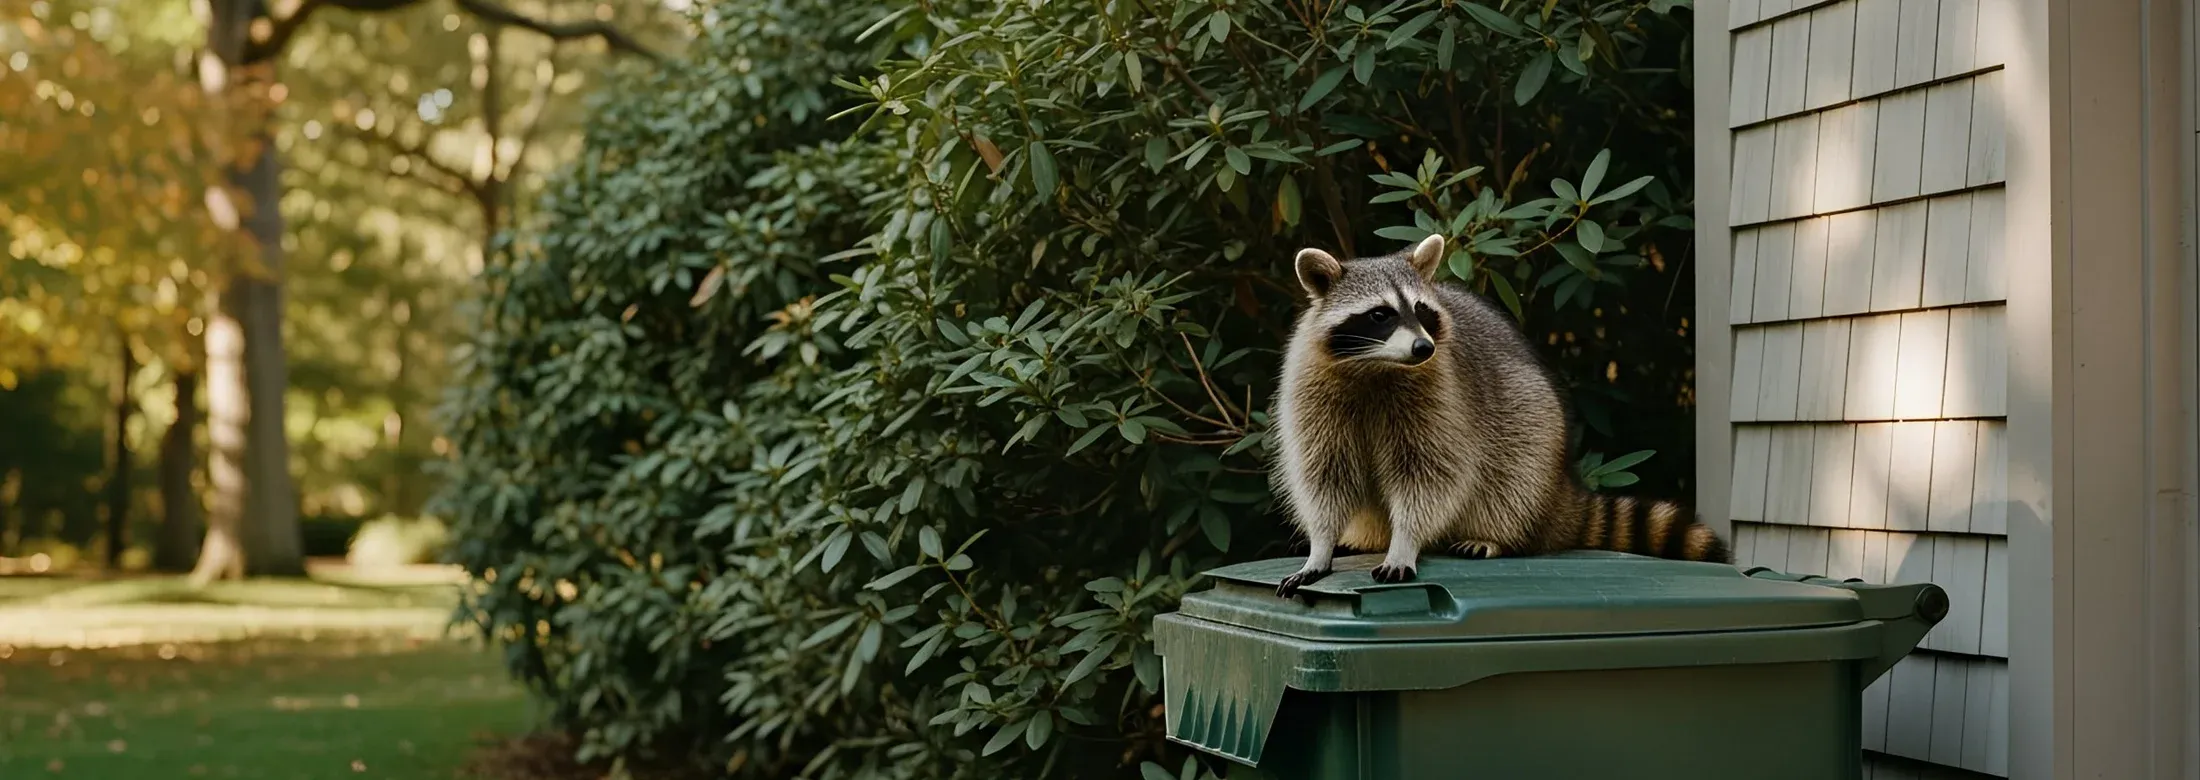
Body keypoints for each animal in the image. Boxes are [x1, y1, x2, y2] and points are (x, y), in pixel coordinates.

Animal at [1268, 234, 1731, 596]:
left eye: (1422, 311)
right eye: (1380, 314)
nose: (1424, 347)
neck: (1378, 367)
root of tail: (1559, 493)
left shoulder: (1442, 400)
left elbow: (1430, 476)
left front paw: (1406, 542)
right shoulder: (1312, 392)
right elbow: (1324, 475)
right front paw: (1322, 544)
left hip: (1531, 421)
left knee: (1514, 475)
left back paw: (1495, 536)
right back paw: (1362, 539)